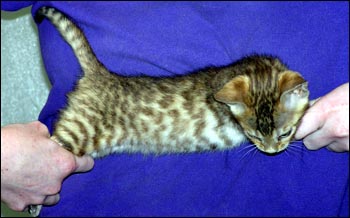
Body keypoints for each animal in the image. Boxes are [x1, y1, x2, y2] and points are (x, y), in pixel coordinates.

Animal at [28, 6, 310, 216]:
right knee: (54, 145)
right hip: (79, 130)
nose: (271, 151)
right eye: (254, 136)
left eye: (284, 134)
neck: (252, 68)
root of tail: (101, 74)